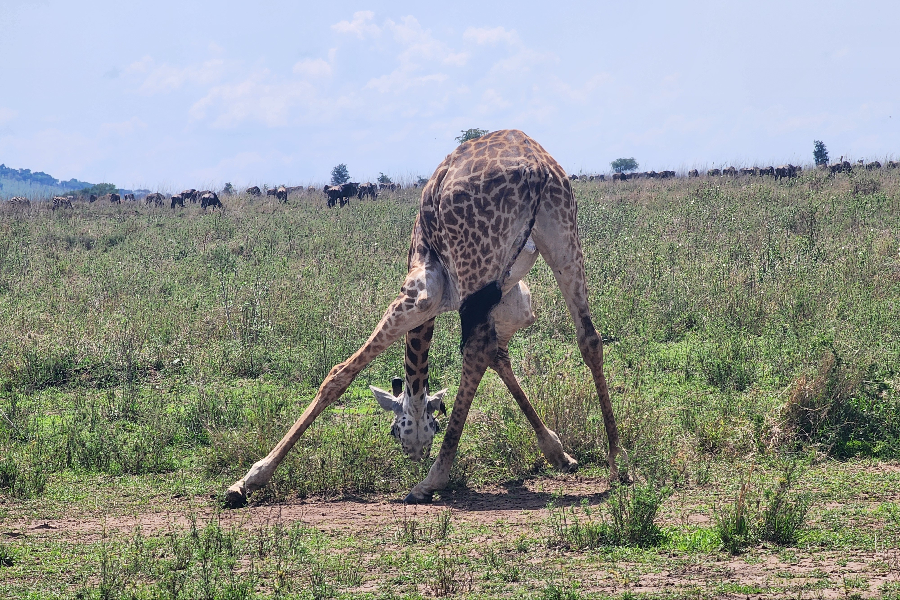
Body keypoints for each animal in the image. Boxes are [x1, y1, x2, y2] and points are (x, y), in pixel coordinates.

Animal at [221, 130, 624, 506]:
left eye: (397, 430)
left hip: (476, 260)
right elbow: (501, 357)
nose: (414, 456)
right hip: (563, 238)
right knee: (588, 337)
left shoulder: (424, 293)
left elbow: (339, 374)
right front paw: (558, 453)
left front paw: (248, 480)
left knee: (475, 350)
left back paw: (431, 480)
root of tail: (536, 168)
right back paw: (618, 462)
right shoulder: (512, 301)